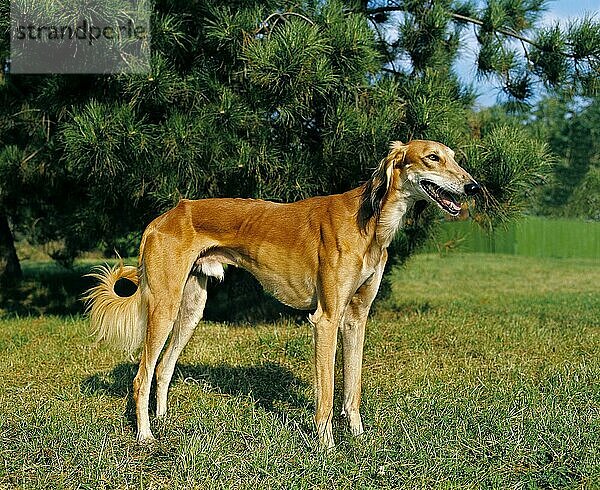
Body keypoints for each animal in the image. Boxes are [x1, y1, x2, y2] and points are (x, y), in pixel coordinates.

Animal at [84, 139, 480, 448]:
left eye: (454, 157)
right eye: (432, 157)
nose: (473, 187)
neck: (370, 222)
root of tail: (161, 218)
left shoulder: (356, 318)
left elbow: (352, 387)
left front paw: (358, 437)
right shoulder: (326, 319)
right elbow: (326, 393)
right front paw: (326, 446)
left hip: (191, 308)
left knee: (163, 368)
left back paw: (163, 422)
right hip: (164, 305)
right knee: (141, 377)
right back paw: (145, 436)